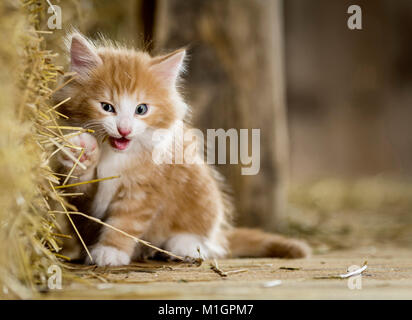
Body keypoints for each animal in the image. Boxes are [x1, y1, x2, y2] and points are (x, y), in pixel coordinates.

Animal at [54, 33, 310, 268]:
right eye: (107, 107)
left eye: (141, 109)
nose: (124, 130)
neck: (116, 154)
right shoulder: (83, 199)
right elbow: (80, 187)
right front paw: (82, 152)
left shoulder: (145, 190)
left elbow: (125, 223)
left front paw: (110, 251)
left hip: (202, 194)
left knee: (209, 242)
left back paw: (184, 246)